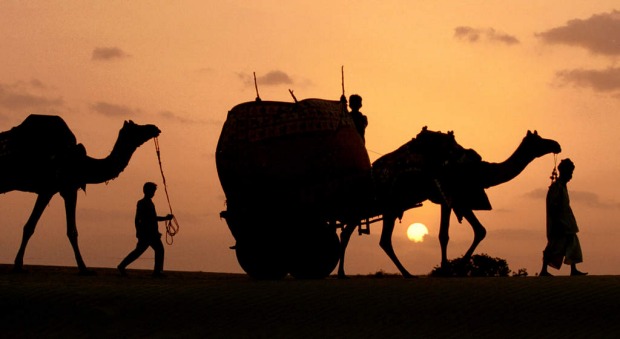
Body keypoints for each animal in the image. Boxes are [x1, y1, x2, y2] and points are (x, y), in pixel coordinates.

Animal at [0, 115, 160, 274]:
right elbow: (33, 227)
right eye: (137, 127)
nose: (154, 128)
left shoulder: (66, 189)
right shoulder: (51, 189)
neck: (81, 164)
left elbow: (70, 230)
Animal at [340, 129, 560, 278]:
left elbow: (480, 230)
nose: (556, 144)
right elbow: (444, 235)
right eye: (539, 140)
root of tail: (373, 171)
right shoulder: (448, 197)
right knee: (372, 235)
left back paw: (346, 273)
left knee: (357, 231)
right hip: (387, 204)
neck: (481, 172)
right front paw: (447, 270)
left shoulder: (460, 200)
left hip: (384, 205)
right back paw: (404, 273)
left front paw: (457, 268)